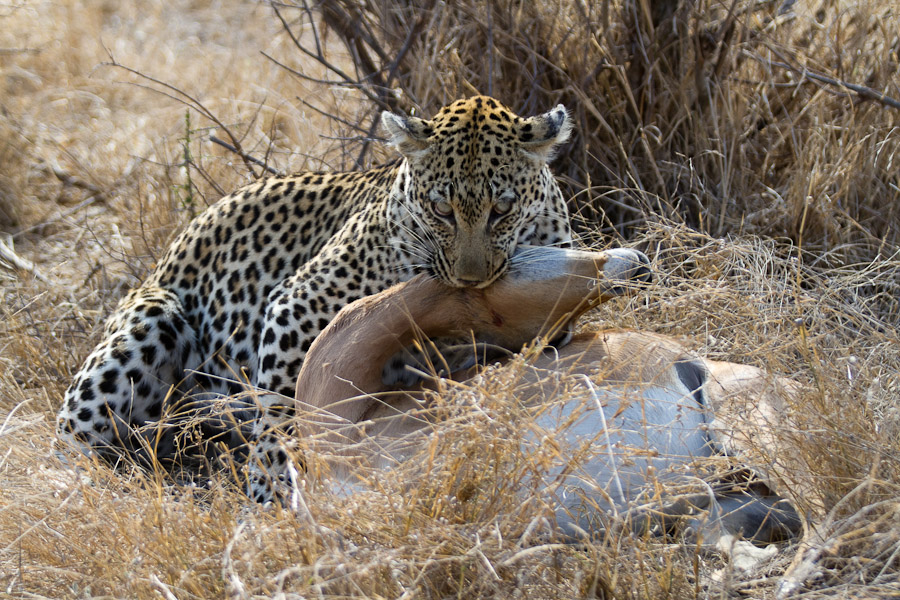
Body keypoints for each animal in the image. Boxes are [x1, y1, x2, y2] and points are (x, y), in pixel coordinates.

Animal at [58, 94, 576, 496]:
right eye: (441, 209)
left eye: (502, 208)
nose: (470, 280)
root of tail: (173, 248)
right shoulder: (300, 301)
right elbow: (280, 410)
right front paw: (268, 496)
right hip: (151, 320)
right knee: (68, 440)